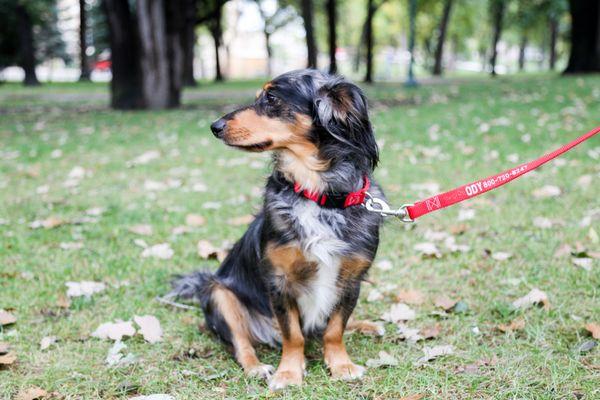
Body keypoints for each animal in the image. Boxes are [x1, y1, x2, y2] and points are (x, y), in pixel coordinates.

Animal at [170, 69, 384, 390]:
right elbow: (292, 335)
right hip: (219, 294)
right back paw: (257, 367)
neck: (317, 195)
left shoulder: (351, 279)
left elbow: (335, 328)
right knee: (242, 345)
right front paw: (289, 372)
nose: (215, 126)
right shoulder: (279, 281)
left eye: (271, 98)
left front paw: (341, 365)